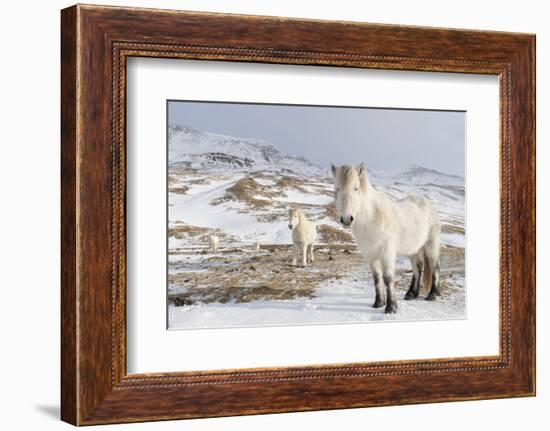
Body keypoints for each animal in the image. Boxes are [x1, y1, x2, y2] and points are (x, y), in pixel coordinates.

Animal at [332, 162, 444, 314]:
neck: (372, 218)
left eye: (355, 188)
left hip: (431, 245)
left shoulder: (387, 253)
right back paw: (411, 294)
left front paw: (391, 307)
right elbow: (377, 278)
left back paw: (432, 294)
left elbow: (388, 278)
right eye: (337, 188)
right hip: (413, 249)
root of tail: (427, 203)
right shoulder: (371, 255)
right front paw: (378, 303)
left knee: (435, 267)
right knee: (418, 267)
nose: (346, 219)